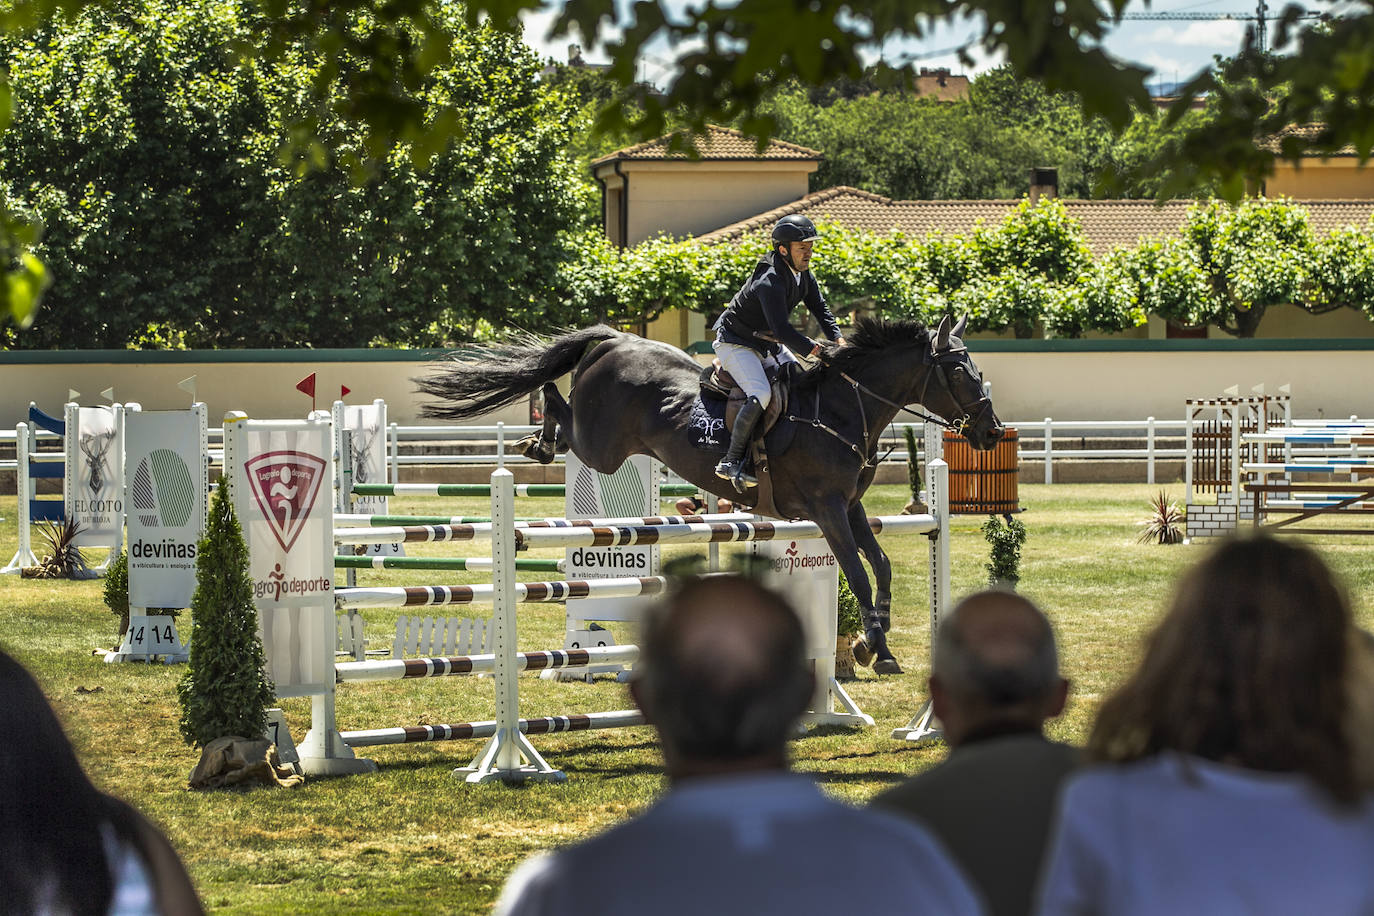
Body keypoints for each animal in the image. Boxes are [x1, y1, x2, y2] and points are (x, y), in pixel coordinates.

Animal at [412, 315, 1005, 672]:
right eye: (960, 371)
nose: (991, 432)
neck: (842, 408)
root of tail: (615, 340)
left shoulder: (851, 506)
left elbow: (879, 566)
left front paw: (869, 644)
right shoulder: (827, 508)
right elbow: (858, 573)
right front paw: (878, 650)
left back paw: (538, 439)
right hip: (601, 447)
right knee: (560, 403)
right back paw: (536, 438)